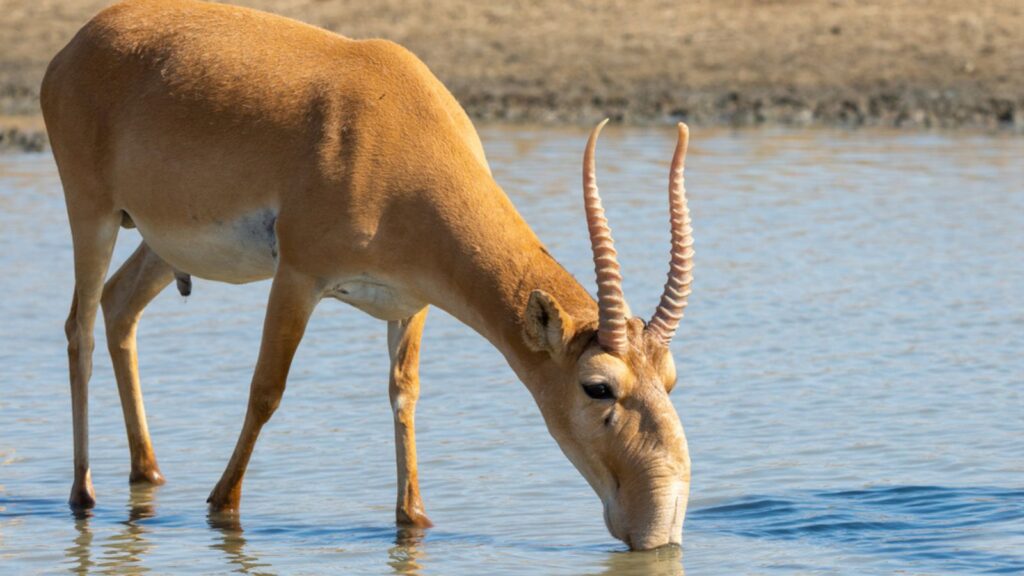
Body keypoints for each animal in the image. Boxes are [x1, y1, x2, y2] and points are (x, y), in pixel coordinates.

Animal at [42, 0, 695, 550]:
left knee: (119, 306)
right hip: (92, 212)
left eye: (670, 377)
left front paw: (414, 519)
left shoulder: (410, 303)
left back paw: (147, 473)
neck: (398, 126)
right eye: (597, 386)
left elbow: (403, 393)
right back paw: (82, 494)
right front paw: (221, 506)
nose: (659, 526)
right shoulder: (298, 277)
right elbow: (266, 390)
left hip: (157, 243)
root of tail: (76, 45)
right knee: (79, 327)